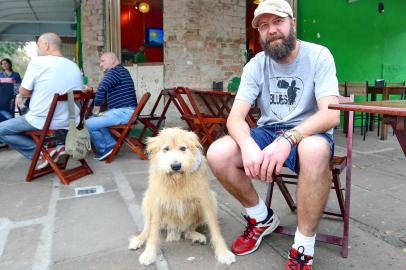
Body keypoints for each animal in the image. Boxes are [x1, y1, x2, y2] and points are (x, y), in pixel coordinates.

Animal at [128, 127, 236, 266]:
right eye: (166, 149)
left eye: (183, 148)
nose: (176, 166)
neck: (177, 180)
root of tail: (175, 229)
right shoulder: (158, 203)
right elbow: (153, 232)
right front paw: (149, 254)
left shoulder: (206, 200)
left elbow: (215, 229)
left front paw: (223, 252)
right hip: (147, 200)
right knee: (147, 227)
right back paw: (138, 239)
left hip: (212, 200)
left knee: (189, 229)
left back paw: (196, 236)